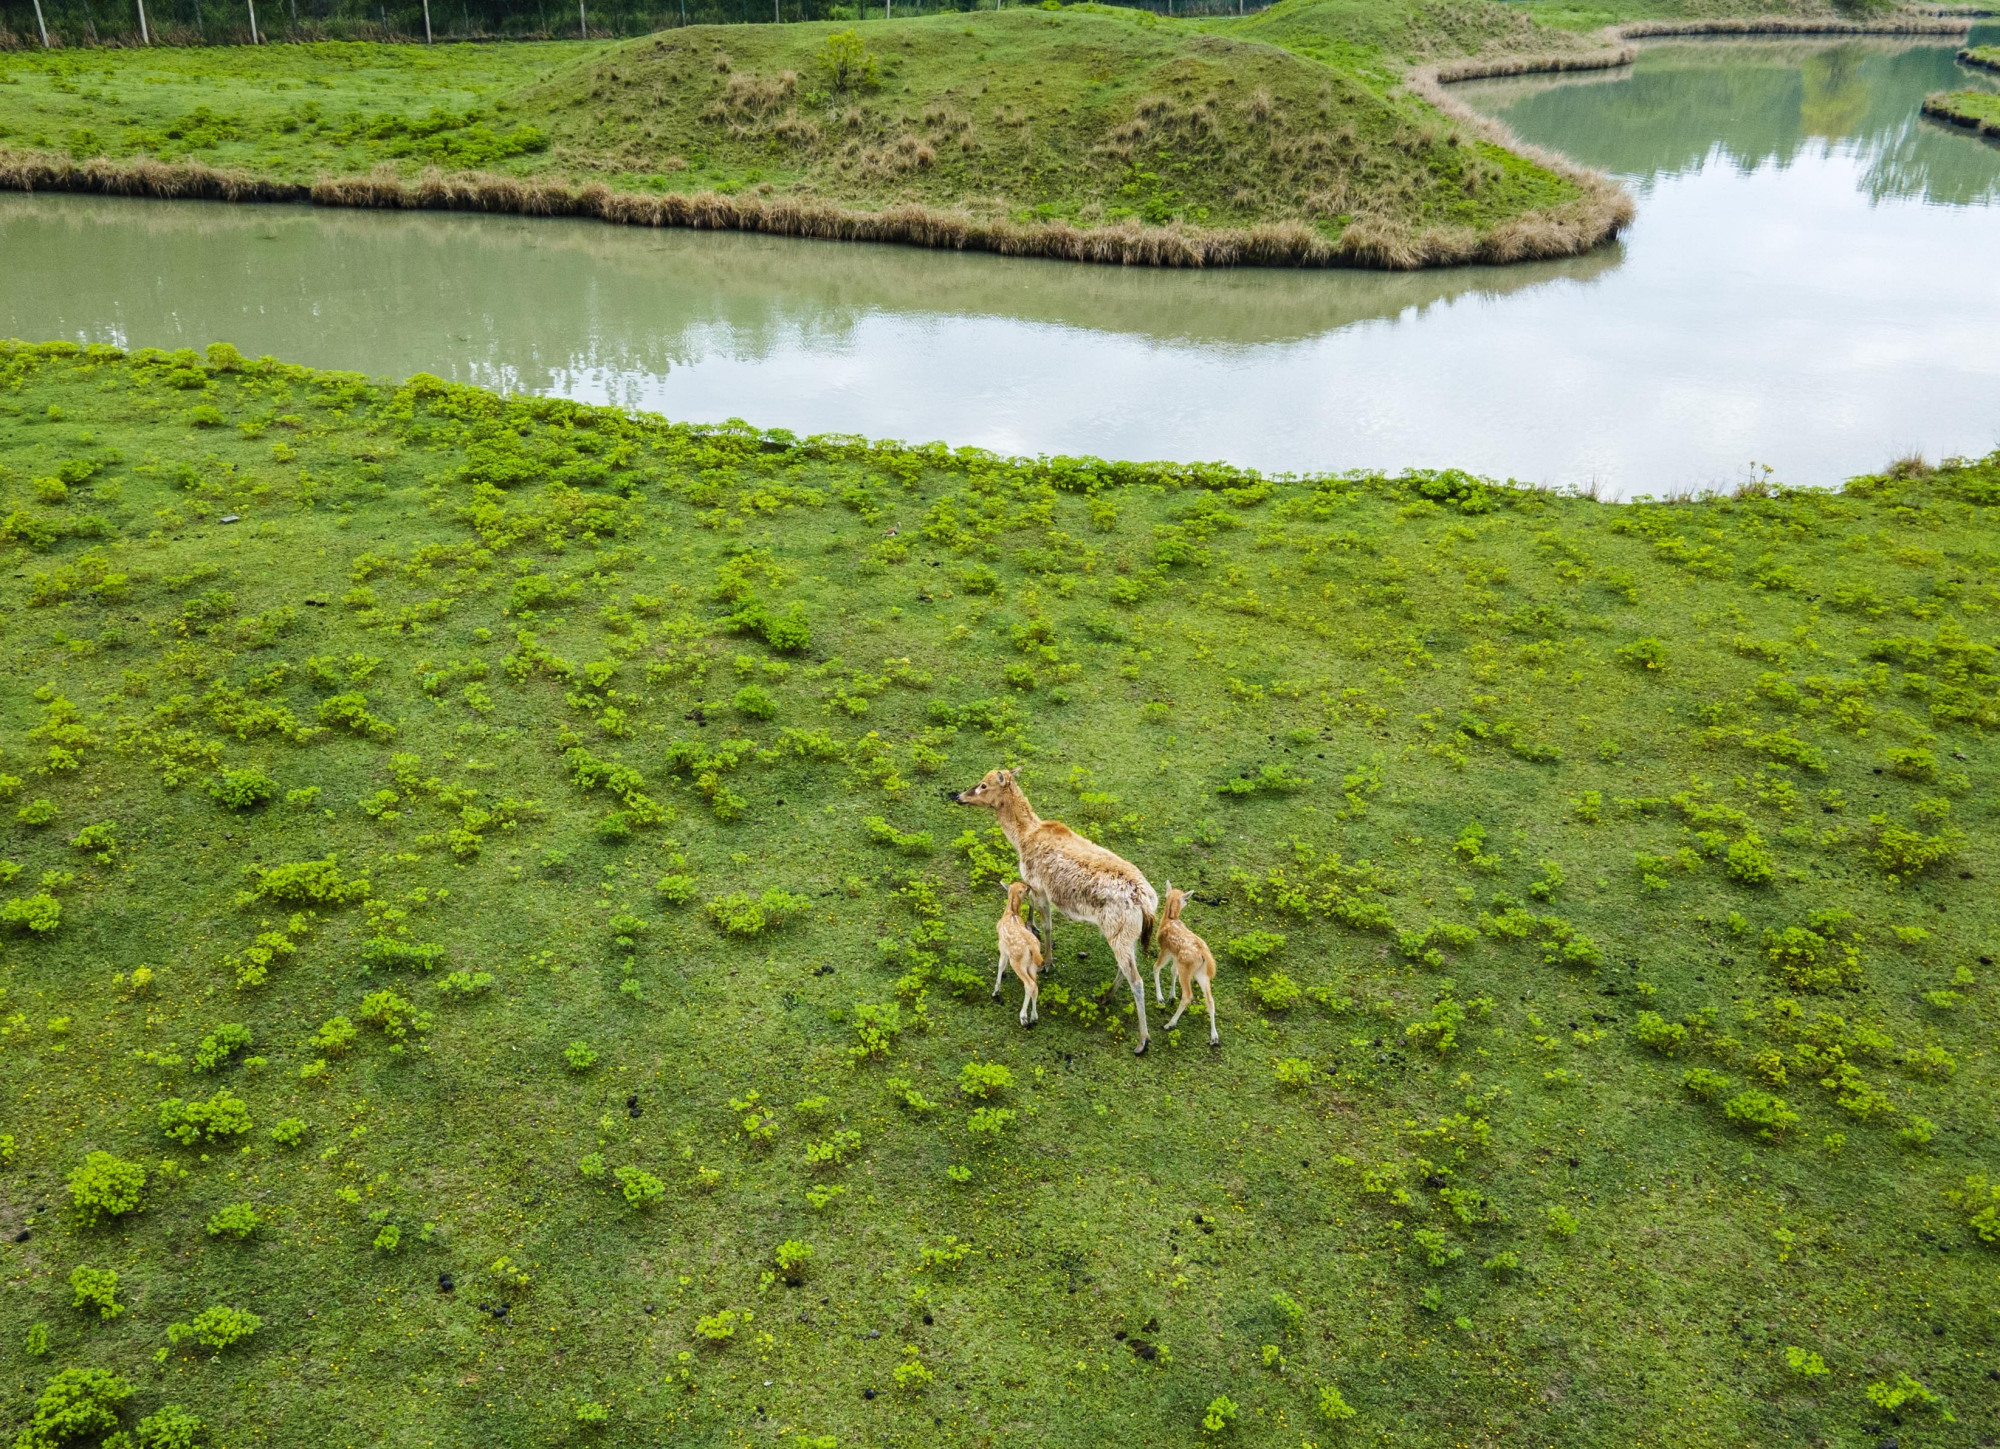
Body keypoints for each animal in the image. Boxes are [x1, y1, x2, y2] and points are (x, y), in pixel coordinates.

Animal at [996, 876, 1048, 1024]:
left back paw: (1023, 1017)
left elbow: (1000, 965)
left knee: (1029, 984)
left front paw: (996, 991)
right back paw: (1034, 1017)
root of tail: (1033, 949)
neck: (1011, 913)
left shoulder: (1002, 946)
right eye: (1023, 888)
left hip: (1018, 963)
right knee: (1035, 986)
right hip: (1032, 965)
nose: (1029, 886)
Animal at [1160, 884, 1216, 1040]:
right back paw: (1214, 1037)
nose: (1188, 902)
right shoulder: (1175, 956)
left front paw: (1165, 997)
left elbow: (1159, 968)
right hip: (1201, 973)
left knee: (1187, 996)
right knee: (1210, 999)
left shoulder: (1166, 950)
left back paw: (1170, 1024)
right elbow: (1172, 971)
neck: (1169, 919)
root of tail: (1204, 953)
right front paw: (1171, 996)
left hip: (1186, 969)